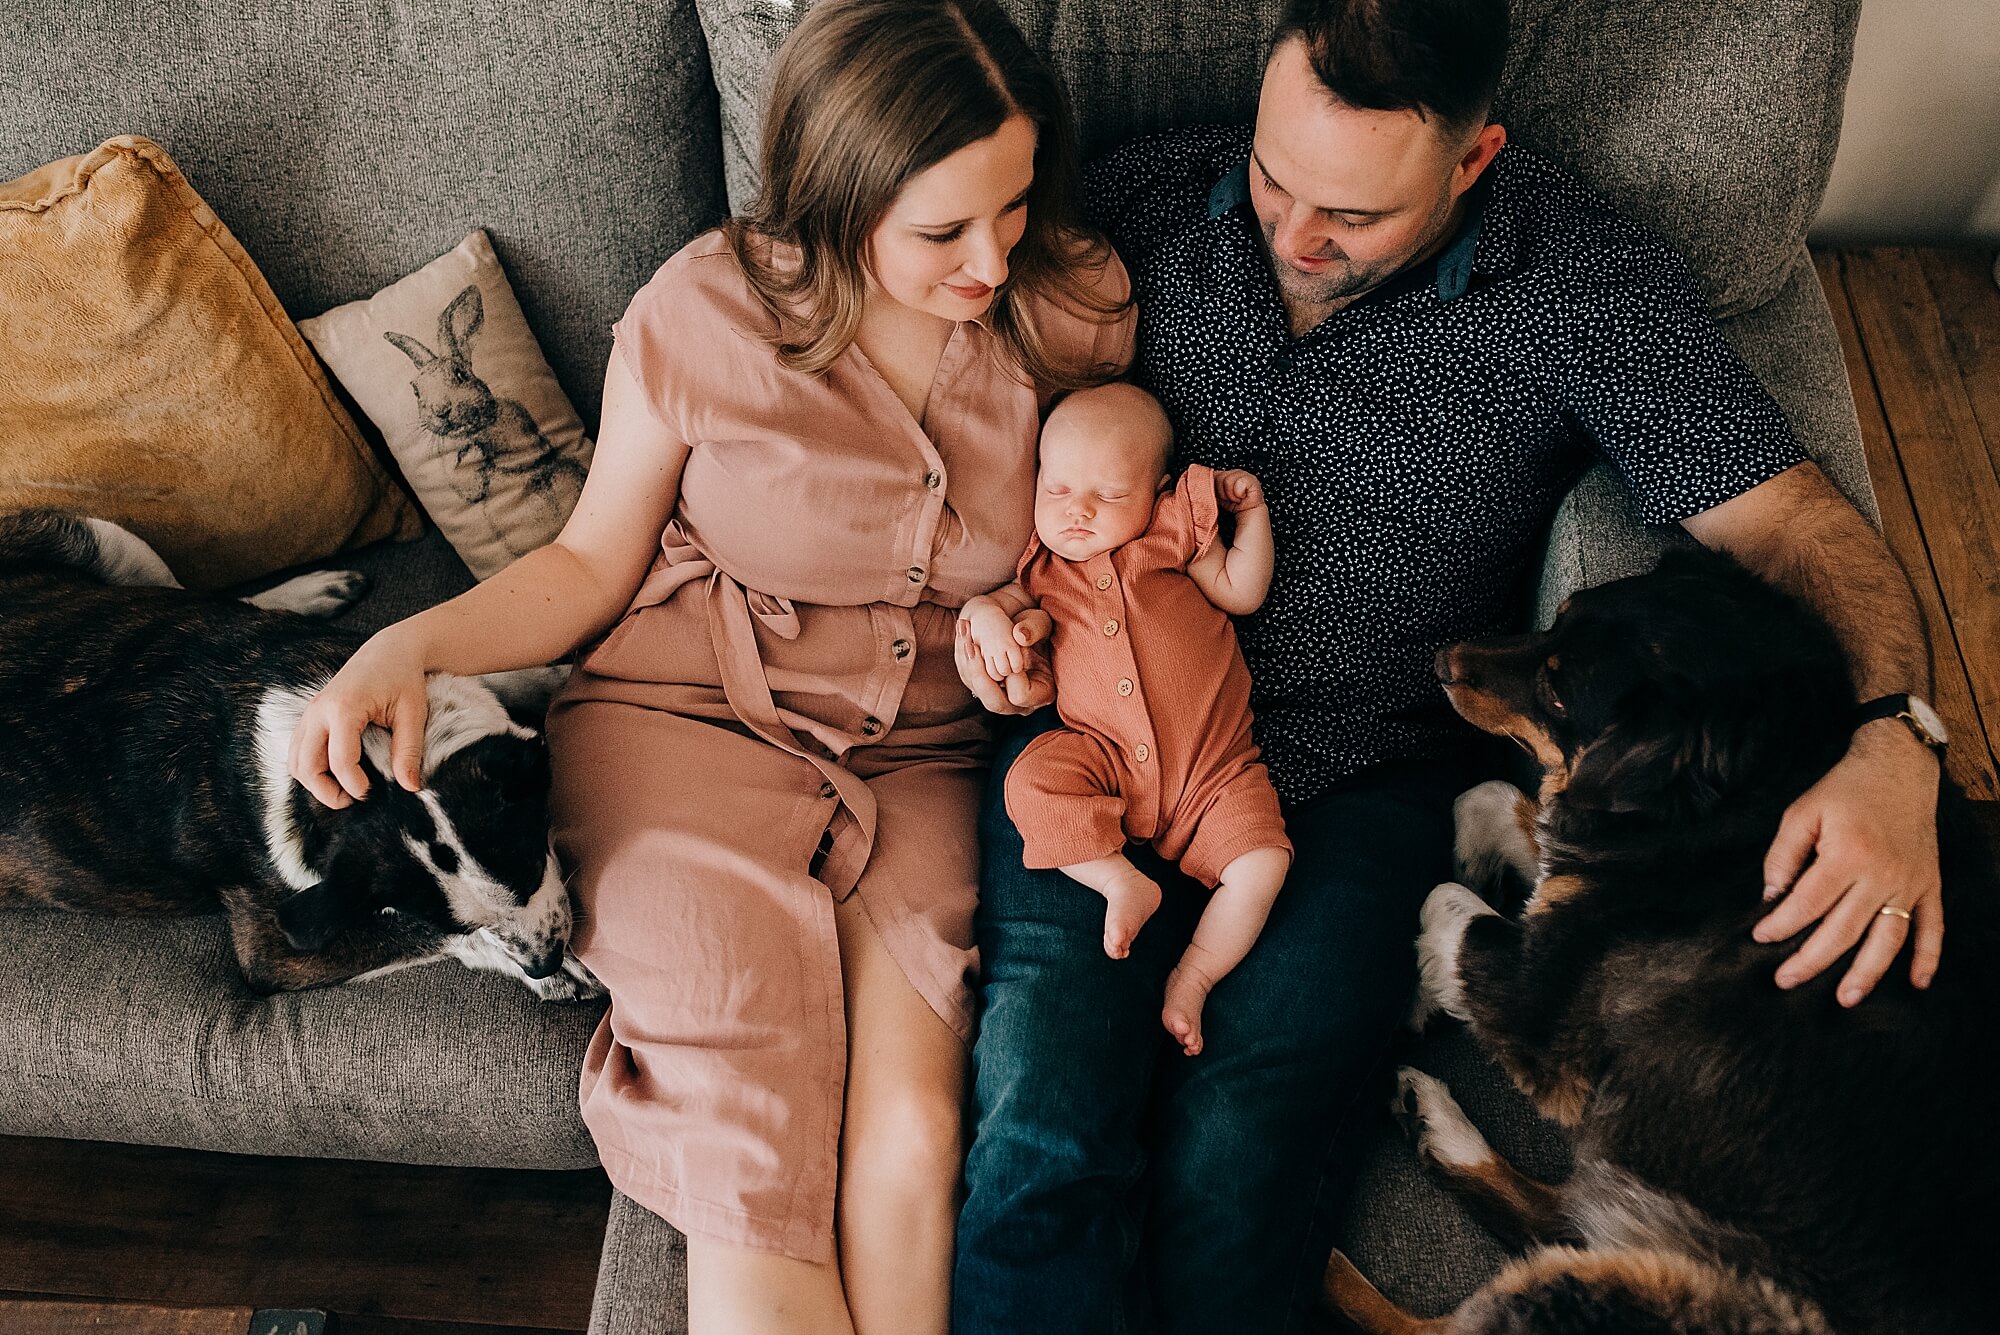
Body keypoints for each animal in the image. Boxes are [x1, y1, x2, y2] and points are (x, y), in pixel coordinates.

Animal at [0, 511, 600, 999]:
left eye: (529, 869)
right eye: (458, 925)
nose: (543, 961)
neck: (368, 762)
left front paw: (561, 675)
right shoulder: (276, 948)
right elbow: (394, 926)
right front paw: (547, 970)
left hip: (98, 538)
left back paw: (311, 591)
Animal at [1320, 551, 1992, 1335]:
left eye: (1557, 690)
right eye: (1557, 616)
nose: (1440, 659)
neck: (1750, 794)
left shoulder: (1543, 1006)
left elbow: (1447, 903)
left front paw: (1418, 987)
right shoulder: (1584, 865)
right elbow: (1489, 800)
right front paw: (1473, 865)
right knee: (1554, 1219)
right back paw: (1432, 1121)